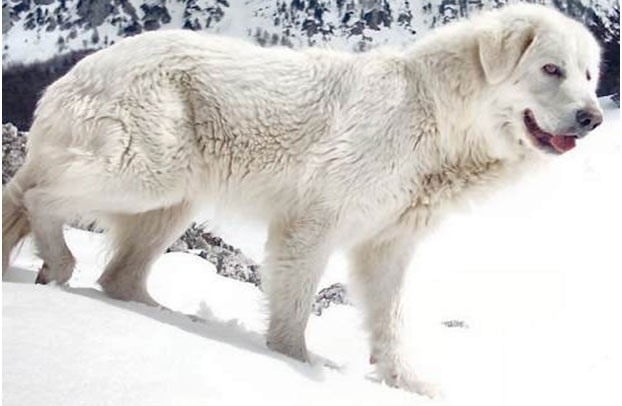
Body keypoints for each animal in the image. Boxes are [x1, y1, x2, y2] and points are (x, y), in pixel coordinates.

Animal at [1, 3, 604, 396]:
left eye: (588, 74)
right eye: (551, 69)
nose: (593, 118)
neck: (439, 116)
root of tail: (81, 68)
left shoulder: (388, 244)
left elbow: (390, 320)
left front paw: (406, 382)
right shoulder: (315, 221)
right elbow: (294, 310)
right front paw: (295, 364)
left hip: (173, 200)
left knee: (118, 276)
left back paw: (174, 316)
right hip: (146, 173)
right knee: (36, 193)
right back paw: (59, 263)